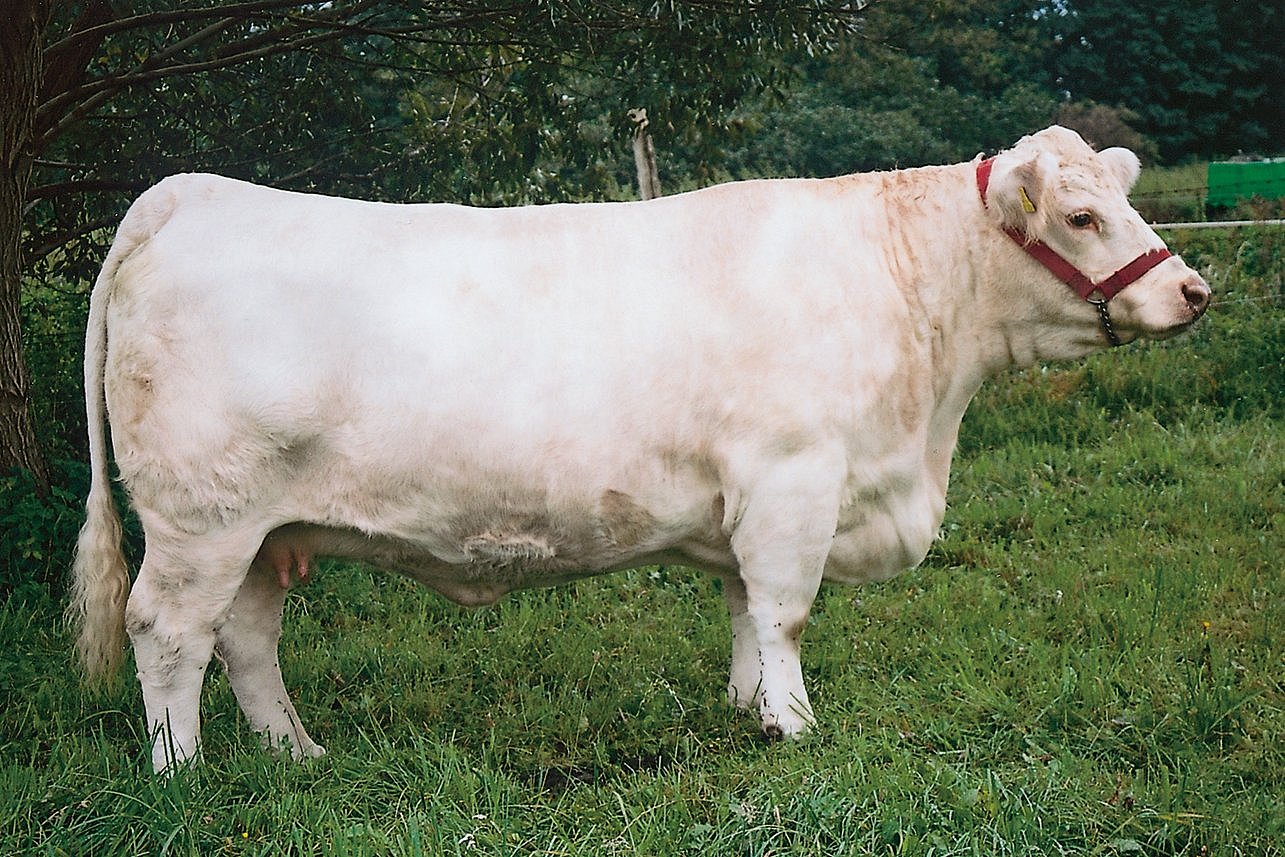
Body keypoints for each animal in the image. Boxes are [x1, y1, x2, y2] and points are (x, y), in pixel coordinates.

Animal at [70, 125, 1207, 770]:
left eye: (1120, 199)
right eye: (1080, 215)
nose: (1192, 290)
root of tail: (185, 193)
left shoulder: (749, 500)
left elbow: (744, 605)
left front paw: (749, 708)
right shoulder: (796, 478)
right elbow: (786, 609)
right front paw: (795, 726)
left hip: (266, 529)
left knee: (247, 638)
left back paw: (297, 753)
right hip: (200, 518)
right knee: (167, 632)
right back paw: (183, 774)